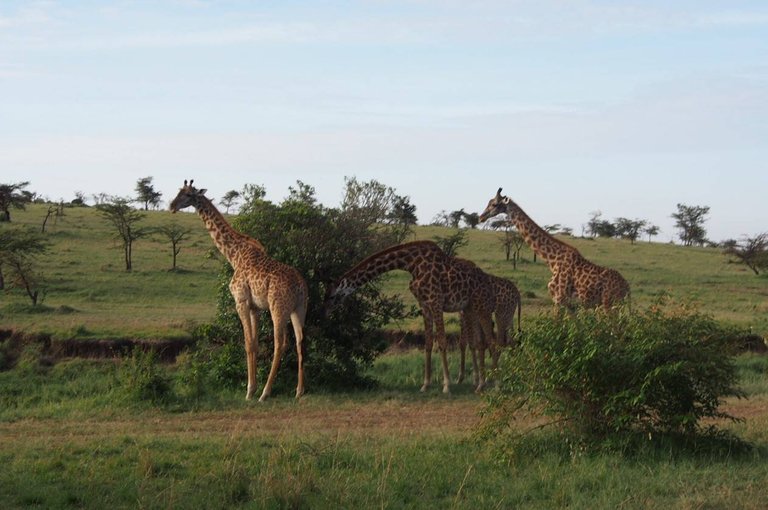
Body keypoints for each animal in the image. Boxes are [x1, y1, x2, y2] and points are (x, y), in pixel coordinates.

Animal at [170, 180, 308, 402]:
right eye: (179, 191)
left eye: (188, 195)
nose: (172, 206)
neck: (233, 254)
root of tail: (300, 285)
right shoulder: (255, 307)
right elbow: (255, 343)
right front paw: (252, 387)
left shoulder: (240, 301)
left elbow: (247, 343)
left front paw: (250, 390)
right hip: (299, 309)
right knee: (300, 341)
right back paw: (299, 391)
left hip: (278, 308)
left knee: (281, 343)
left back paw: (265, 393)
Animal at [322, 241, 492, 392]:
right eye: (325, 295)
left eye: (331, 296)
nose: (324, 313)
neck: (411, 264)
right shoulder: (424, 304)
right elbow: (428, 343)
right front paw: (425, 385)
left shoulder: (436, 302)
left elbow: (442, 342)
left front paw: (446, 385)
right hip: (468, 309)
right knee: (476, 341)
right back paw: (478, 381)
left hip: (477, 307)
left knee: (482, 340)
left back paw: (483, 381)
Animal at [480, 186, 632, 306]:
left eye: (494, 204)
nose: (481, 217)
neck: (551, 260)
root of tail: (627, 287)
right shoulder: (569, 305)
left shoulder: (559, 299)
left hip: (608, 304)